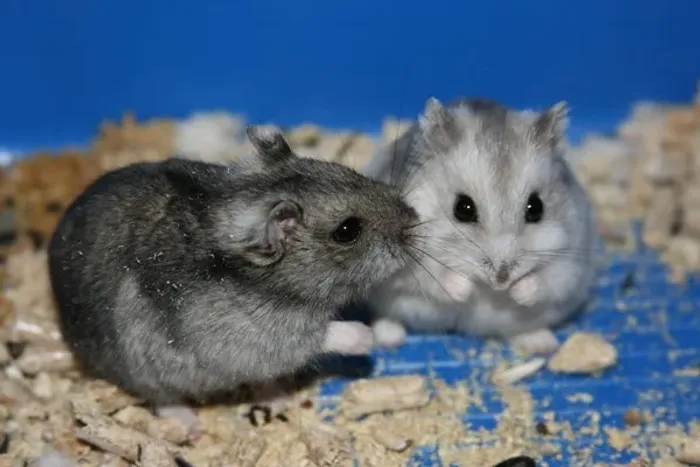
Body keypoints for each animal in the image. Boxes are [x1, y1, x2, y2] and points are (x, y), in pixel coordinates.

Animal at [48, 125, 420, 438]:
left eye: (348, 171)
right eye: (347, 231)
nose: (414, 218)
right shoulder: (264, 338)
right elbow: (321, 336)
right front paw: (367, 337)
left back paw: (277, 398)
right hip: (144, 369)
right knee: (162, 396)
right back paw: (191, 427)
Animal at [361, 97, 596, 355]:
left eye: (536, 208)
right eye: (463, 208)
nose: (501, 281)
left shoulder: (571, 259)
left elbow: (548, 279)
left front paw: (516, 292)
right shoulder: (401, 261)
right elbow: (431, 276)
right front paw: (466, 289)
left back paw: (542, 343)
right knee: (387, 316)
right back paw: (386, 339)